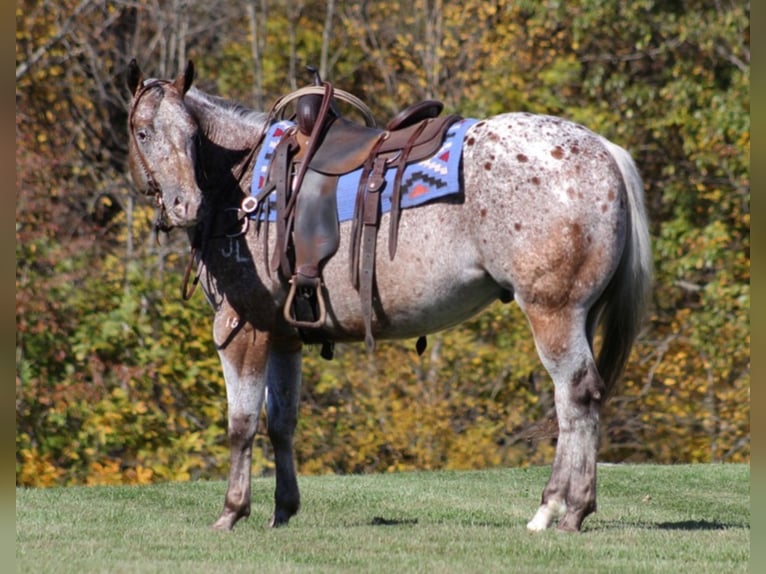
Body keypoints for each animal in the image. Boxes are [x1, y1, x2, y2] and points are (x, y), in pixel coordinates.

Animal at [127, 60, 656, 532]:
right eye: (144, 132)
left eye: (190, 136)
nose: (186, 205)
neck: (242, 183)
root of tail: (604, 149)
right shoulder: (285, 334)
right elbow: (282, 423)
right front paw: (283, 510)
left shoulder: (243, 328)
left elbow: (241, 425)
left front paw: (232, 511)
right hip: (579, 314)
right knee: (577, 401)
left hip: (553, 313)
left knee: (576, 396)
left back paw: (563, 510)